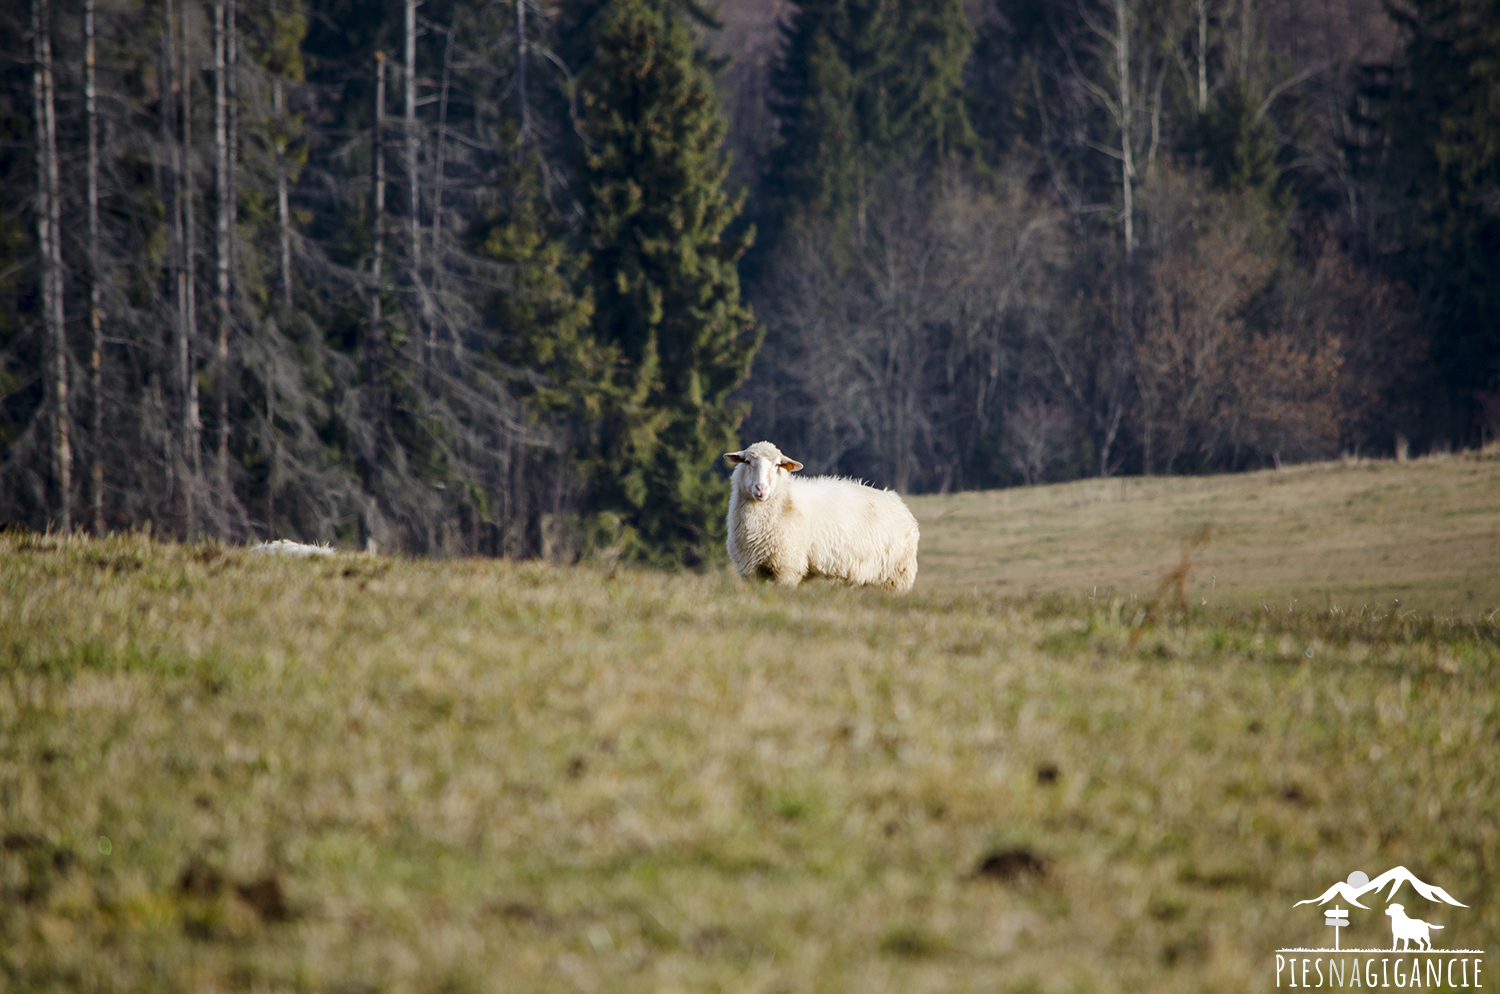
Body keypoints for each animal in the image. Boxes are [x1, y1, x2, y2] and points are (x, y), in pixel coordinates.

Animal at [723, 440, 918, 590]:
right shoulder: (751, 571)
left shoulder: (787, 567)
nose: (761, 489)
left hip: (897, 576)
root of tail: (898, 502)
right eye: (747, 462)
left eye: (778, 465)